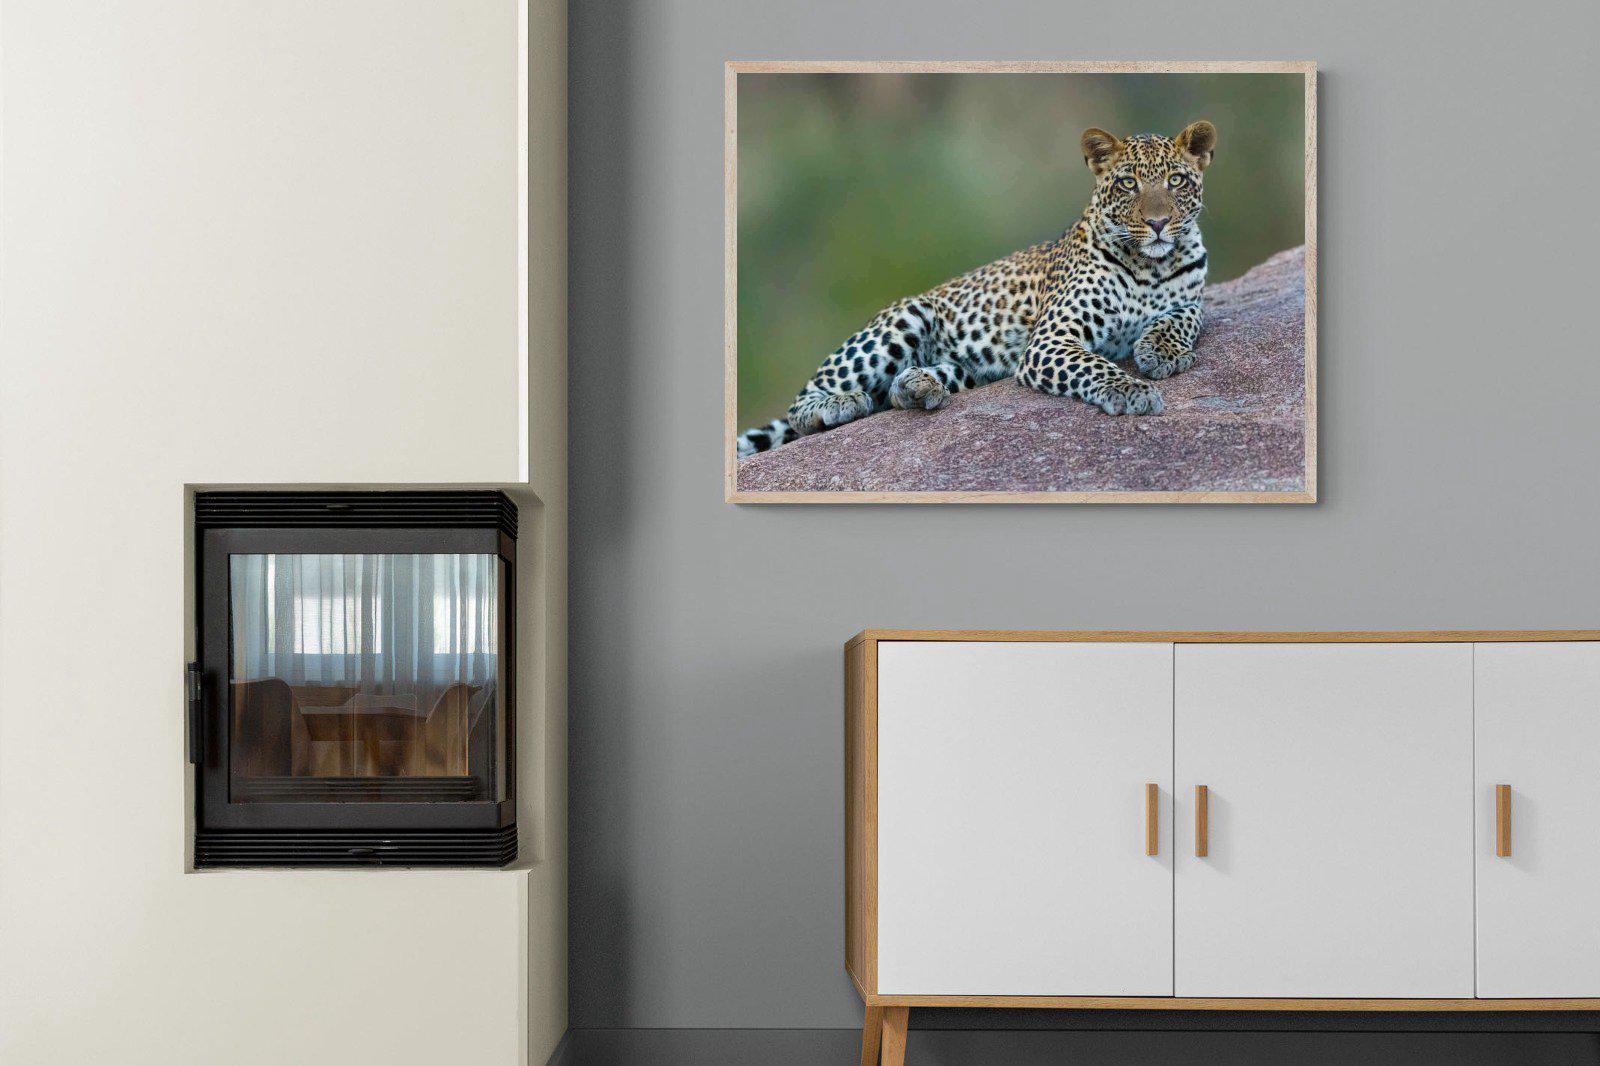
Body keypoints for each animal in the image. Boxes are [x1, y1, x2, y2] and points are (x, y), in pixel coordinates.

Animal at [736, 120, 1217, 458]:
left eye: (1175, 181)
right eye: (1128, 183)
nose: (1158, 223)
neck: (1151, 265)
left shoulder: (1193, 298)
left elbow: (1183, 318)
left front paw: (1162, 351)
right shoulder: (1050, 339)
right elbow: (1095, 366)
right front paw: (1133, 391)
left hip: (967, 368)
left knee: (894, 393)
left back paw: (918, 386)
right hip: (903, 319)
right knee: (805, 402)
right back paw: (840, 404)